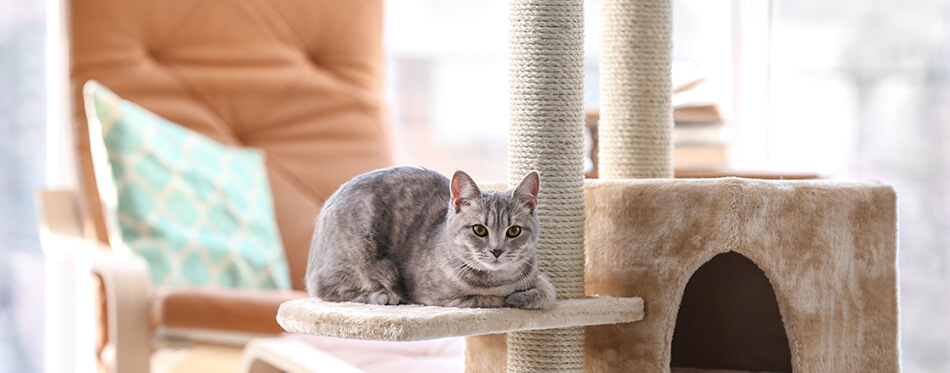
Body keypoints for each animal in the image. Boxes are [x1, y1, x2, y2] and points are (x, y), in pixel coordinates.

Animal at [308, 167, 556, 310]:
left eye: (513, 231)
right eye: (479, 230)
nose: (497, 250)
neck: (501, 280)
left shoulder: (537, 277)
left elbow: (548, 292)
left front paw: (525, 297)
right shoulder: (434, 296)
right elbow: (487, 299)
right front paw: (511, 298)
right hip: (360, 253)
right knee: (326, 289)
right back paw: (382, 296)